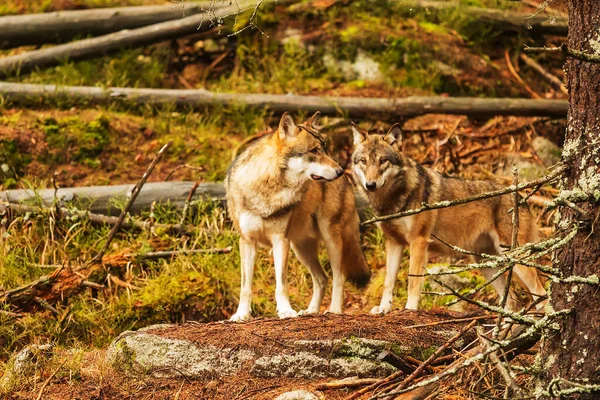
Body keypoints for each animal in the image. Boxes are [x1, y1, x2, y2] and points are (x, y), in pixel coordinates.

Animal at [225, 110, 370, 322]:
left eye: (324, 149)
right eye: (315, 151)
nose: (340, 170)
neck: (268, 187)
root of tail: (349, 181)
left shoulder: (280, 240)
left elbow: (281, 284)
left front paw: (285, 311)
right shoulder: (247, 241)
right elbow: (245, 286)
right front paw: (241, 315)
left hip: (330, 239)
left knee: (338, 277)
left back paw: (334, 310)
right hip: (300, 248)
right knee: (322, 278)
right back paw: (311, 311)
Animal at [352, 123, 548, 314]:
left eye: (383, 160)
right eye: (364, 161)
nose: (370, 185)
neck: (391, 200)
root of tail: (521, 197)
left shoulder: (418, 242)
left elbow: (413, 281)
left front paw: (410, 308)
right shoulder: (394, 242)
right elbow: (388, 281)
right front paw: (384, 308)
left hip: (515, 260)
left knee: (541, 295)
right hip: (485, 264)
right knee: (512, 302)